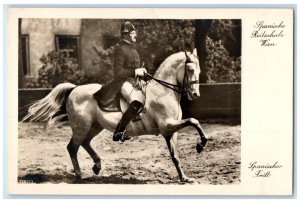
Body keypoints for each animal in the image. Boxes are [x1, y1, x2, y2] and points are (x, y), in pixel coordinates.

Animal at [23, 48, 207, 182]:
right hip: (81, 126)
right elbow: (194, 120)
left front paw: (184, 178)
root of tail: (74, 89)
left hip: (95, 126)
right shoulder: (166, 125)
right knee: (72, 147)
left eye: (198, 70)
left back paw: (97, 165)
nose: (196, 94)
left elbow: (175, 155)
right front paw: (200, 145)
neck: (163, 92)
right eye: (190, 69)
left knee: (85, 143)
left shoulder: (170, 131)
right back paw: (79, 174)